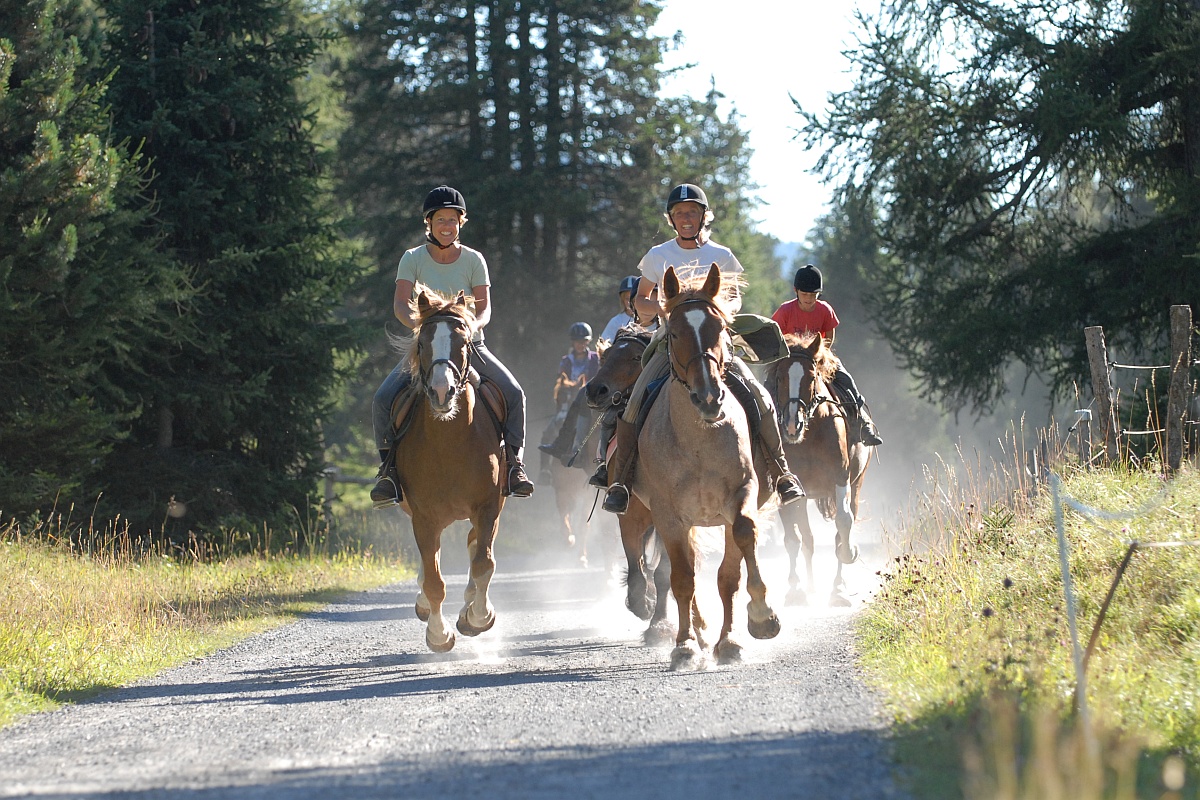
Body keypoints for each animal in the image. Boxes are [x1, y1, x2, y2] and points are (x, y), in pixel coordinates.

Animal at [393, 286, 506, 652]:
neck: (450, 440)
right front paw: (439, 634)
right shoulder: (424, 517)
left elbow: (484, 563)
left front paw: (478, 618)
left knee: (475, 546)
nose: (442, 392)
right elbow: (433, 579)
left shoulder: (488, 506)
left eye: (464, 343)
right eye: (422, 344)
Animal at [624, 263, 782, 671]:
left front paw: (754, 624)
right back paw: (693, 632)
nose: (709, 397)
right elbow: (682, 579)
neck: (700, 440)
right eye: (675, 333)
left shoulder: (741, 495)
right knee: (679, 572)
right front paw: (685, 647)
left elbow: (731, 570)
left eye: (720, 329)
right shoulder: (668, 514)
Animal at [768, 333, 873, 606]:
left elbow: (844, 524)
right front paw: (795, 590)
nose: (792, 424)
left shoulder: (841, 478)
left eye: (811, 376)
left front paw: (848, 559)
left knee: (843, 523)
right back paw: (810, 586)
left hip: (857, 484)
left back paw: (838, 586)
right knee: (807, 539)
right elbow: (792, 539)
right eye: (780, 377)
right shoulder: (789, 490)